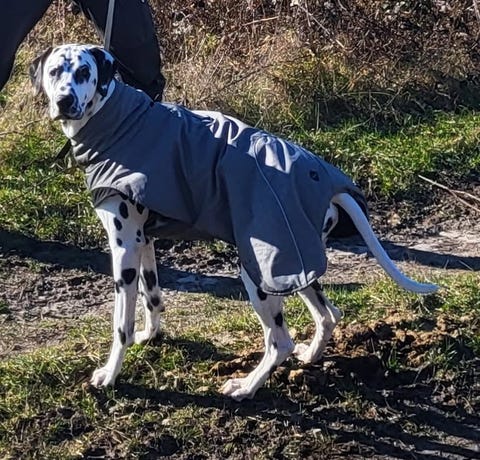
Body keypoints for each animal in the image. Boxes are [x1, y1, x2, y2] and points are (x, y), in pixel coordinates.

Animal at [30, 44, 438, 401]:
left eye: (84, 72)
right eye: (55, 72)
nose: (64, 101)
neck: (121, 121)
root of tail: (329, 184)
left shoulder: (124, 250)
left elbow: (120, 326)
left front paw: (110, 375)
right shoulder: (144, 244)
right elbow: (154, 297)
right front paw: (151, 335)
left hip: (260, 272)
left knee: (280, 341)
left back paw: (247, 386)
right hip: (296, 265)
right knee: (328, 315)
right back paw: (310, 356)